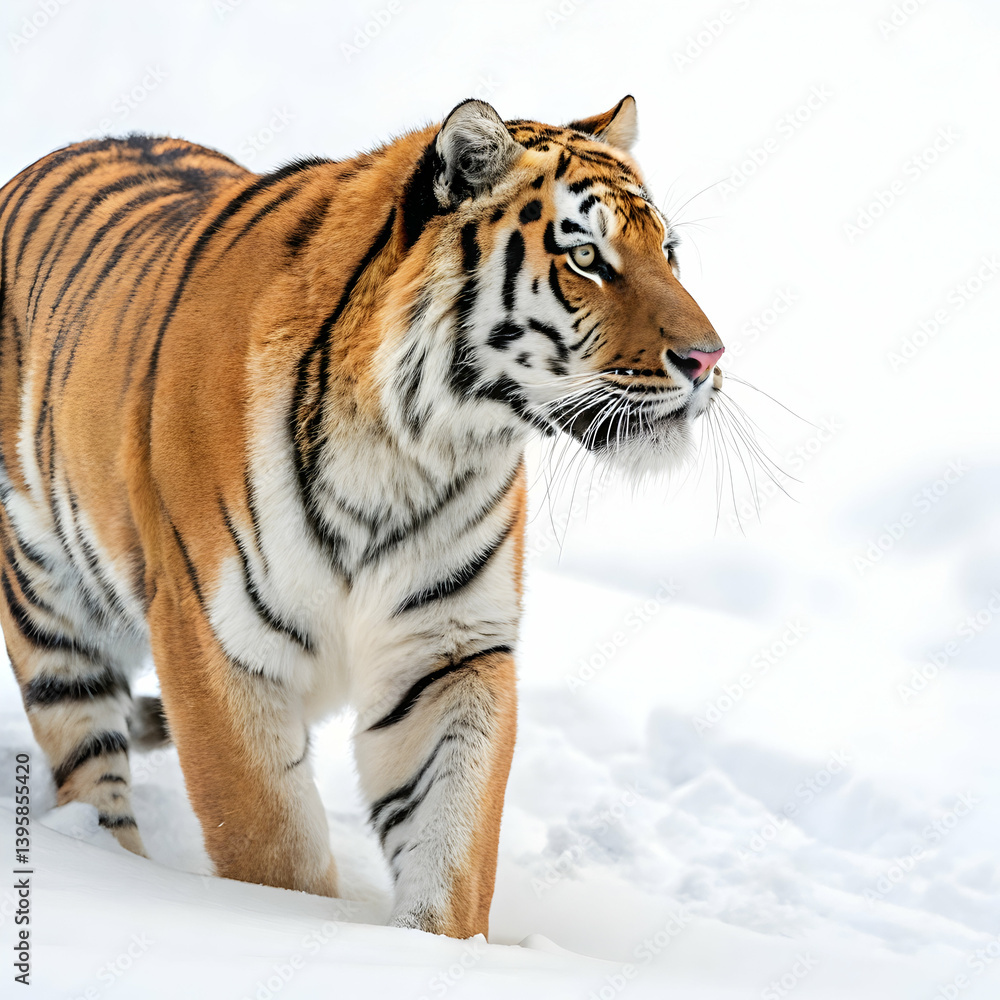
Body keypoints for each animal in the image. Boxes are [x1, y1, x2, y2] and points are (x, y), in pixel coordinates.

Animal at [0, 96, 724, 939]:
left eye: (668, 253)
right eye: (585, 258)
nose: (708, 359)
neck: (411, 448)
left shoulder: (447, 651)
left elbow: (451, 840)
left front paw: (433, 947)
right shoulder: (214, 642)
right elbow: (269, 841)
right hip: (48, 607)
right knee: (89, 767)